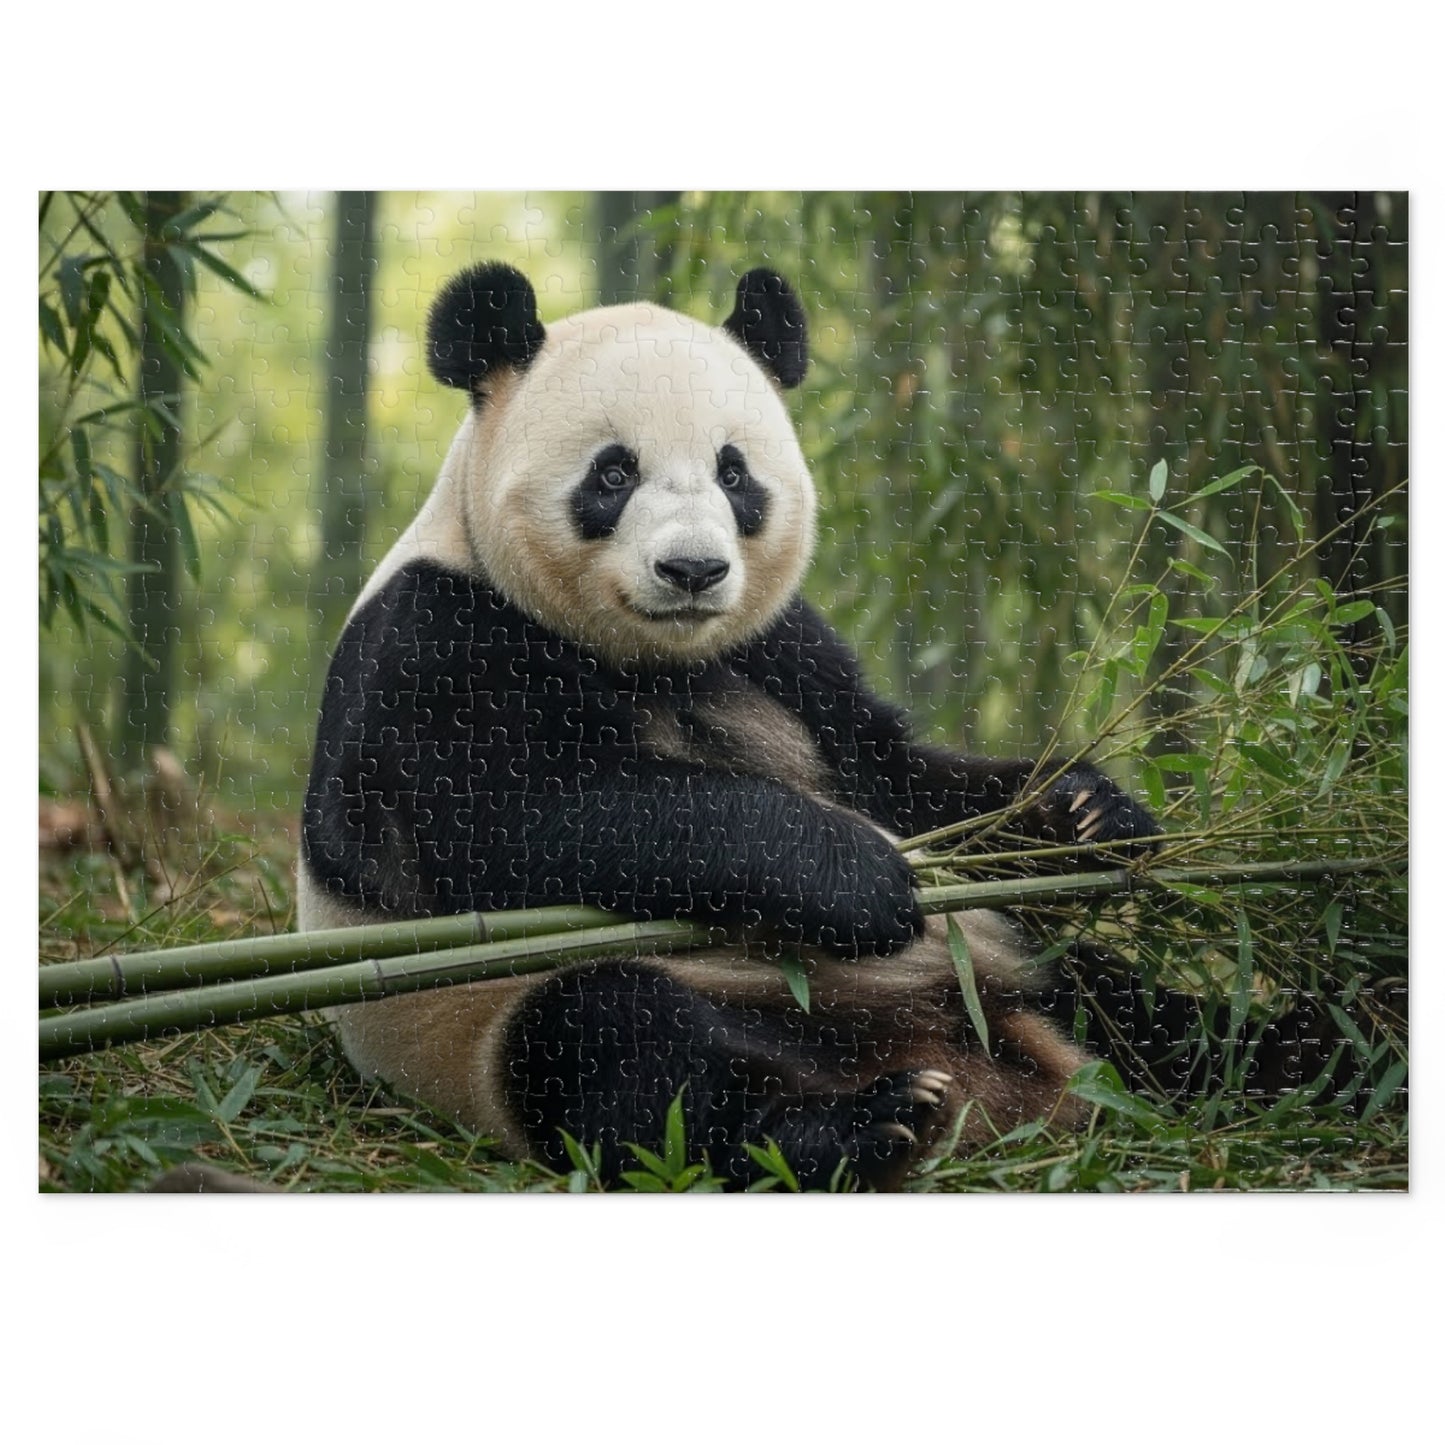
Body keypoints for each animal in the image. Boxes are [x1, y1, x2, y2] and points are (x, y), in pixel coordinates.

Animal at [295, 263, 1316, 1190]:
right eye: (613, 472)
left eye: (733, 472)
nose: (693, 570)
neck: (651, 654)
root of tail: (997, 1082)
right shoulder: (429, 637)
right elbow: (511, 815)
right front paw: (854, 875)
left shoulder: (782, 647)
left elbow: (896, 773)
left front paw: (1084, 813)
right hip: (488, 1019)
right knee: (622, 1053)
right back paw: (860, 1127)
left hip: (1014, 969)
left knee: (1139, 1010)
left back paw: (1301, 1047)